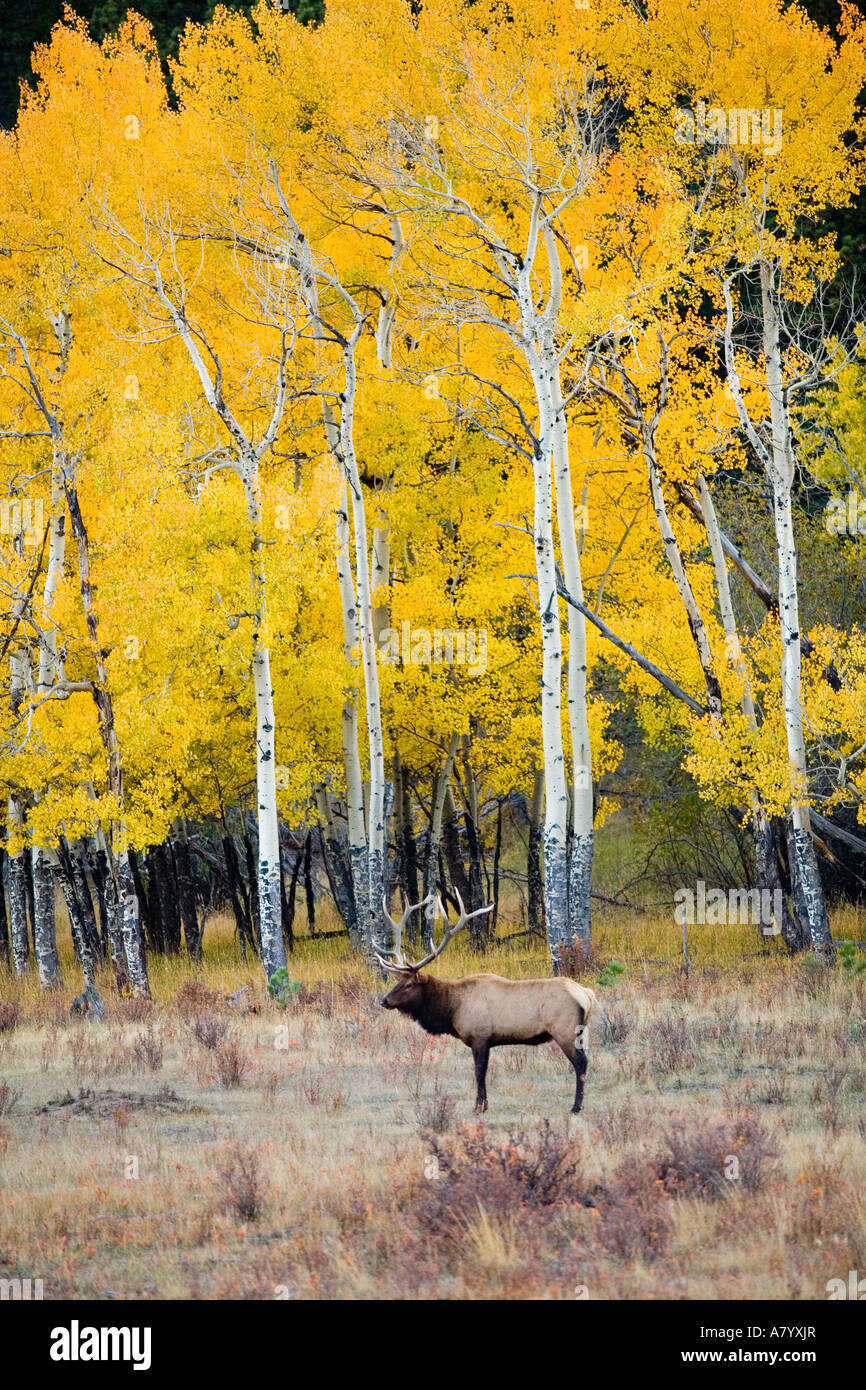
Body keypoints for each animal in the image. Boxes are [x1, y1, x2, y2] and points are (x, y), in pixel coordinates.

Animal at [376, 891, 598, 1115]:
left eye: (409, 984)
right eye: (397, 981)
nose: (384, 1001)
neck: (452, 1009)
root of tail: (587, 995)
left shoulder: (479, 1037)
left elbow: (479, 1072)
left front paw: (478, 1106)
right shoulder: (488, 1041)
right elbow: (484, 1072)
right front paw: (485, 1104)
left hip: (565, 1030)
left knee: (581, 1063)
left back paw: (576, 1106)